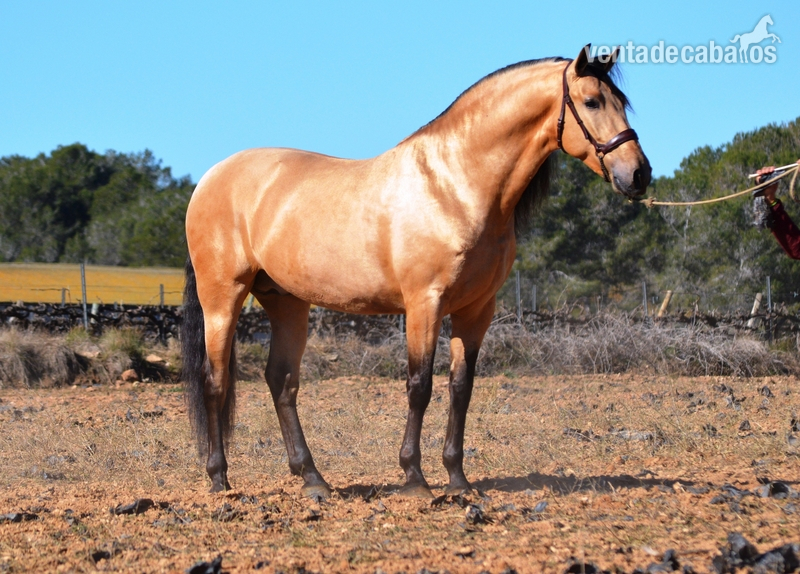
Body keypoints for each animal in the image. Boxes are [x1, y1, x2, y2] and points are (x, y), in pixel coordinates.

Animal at [181, 44, 651, 498]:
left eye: (622, 102)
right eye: (591, 101)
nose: (639, 174)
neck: (453, 186)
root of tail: (210, 178)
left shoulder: (476, 310)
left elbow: (460, 388)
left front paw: (458, 480)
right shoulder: (424, 304)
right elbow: (419, 385)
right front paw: (415, 478)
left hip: (287, 303)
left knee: (281, 381)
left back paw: (313, 479)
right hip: (222, 298)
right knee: (215, 380)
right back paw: (219, 479)